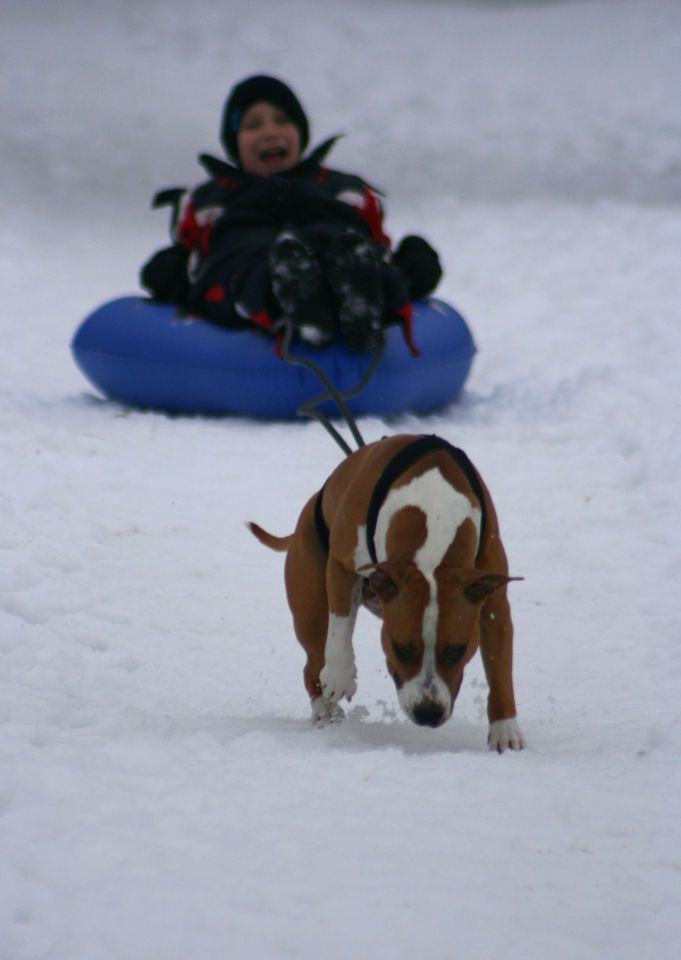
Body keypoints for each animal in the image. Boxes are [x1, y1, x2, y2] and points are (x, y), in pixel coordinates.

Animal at [247, 432, 524, 752]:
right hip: (310, 605)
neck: (434, 513)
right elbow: (340, 625)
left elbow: (500, 666)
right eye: (400, 648)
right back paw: (326, 711)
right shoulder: (341, 565)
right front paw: (341, 676)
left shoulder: (493, 599)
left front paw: (505, 730)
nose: (428, 712)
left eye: (457, 650)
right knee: (314, 661)